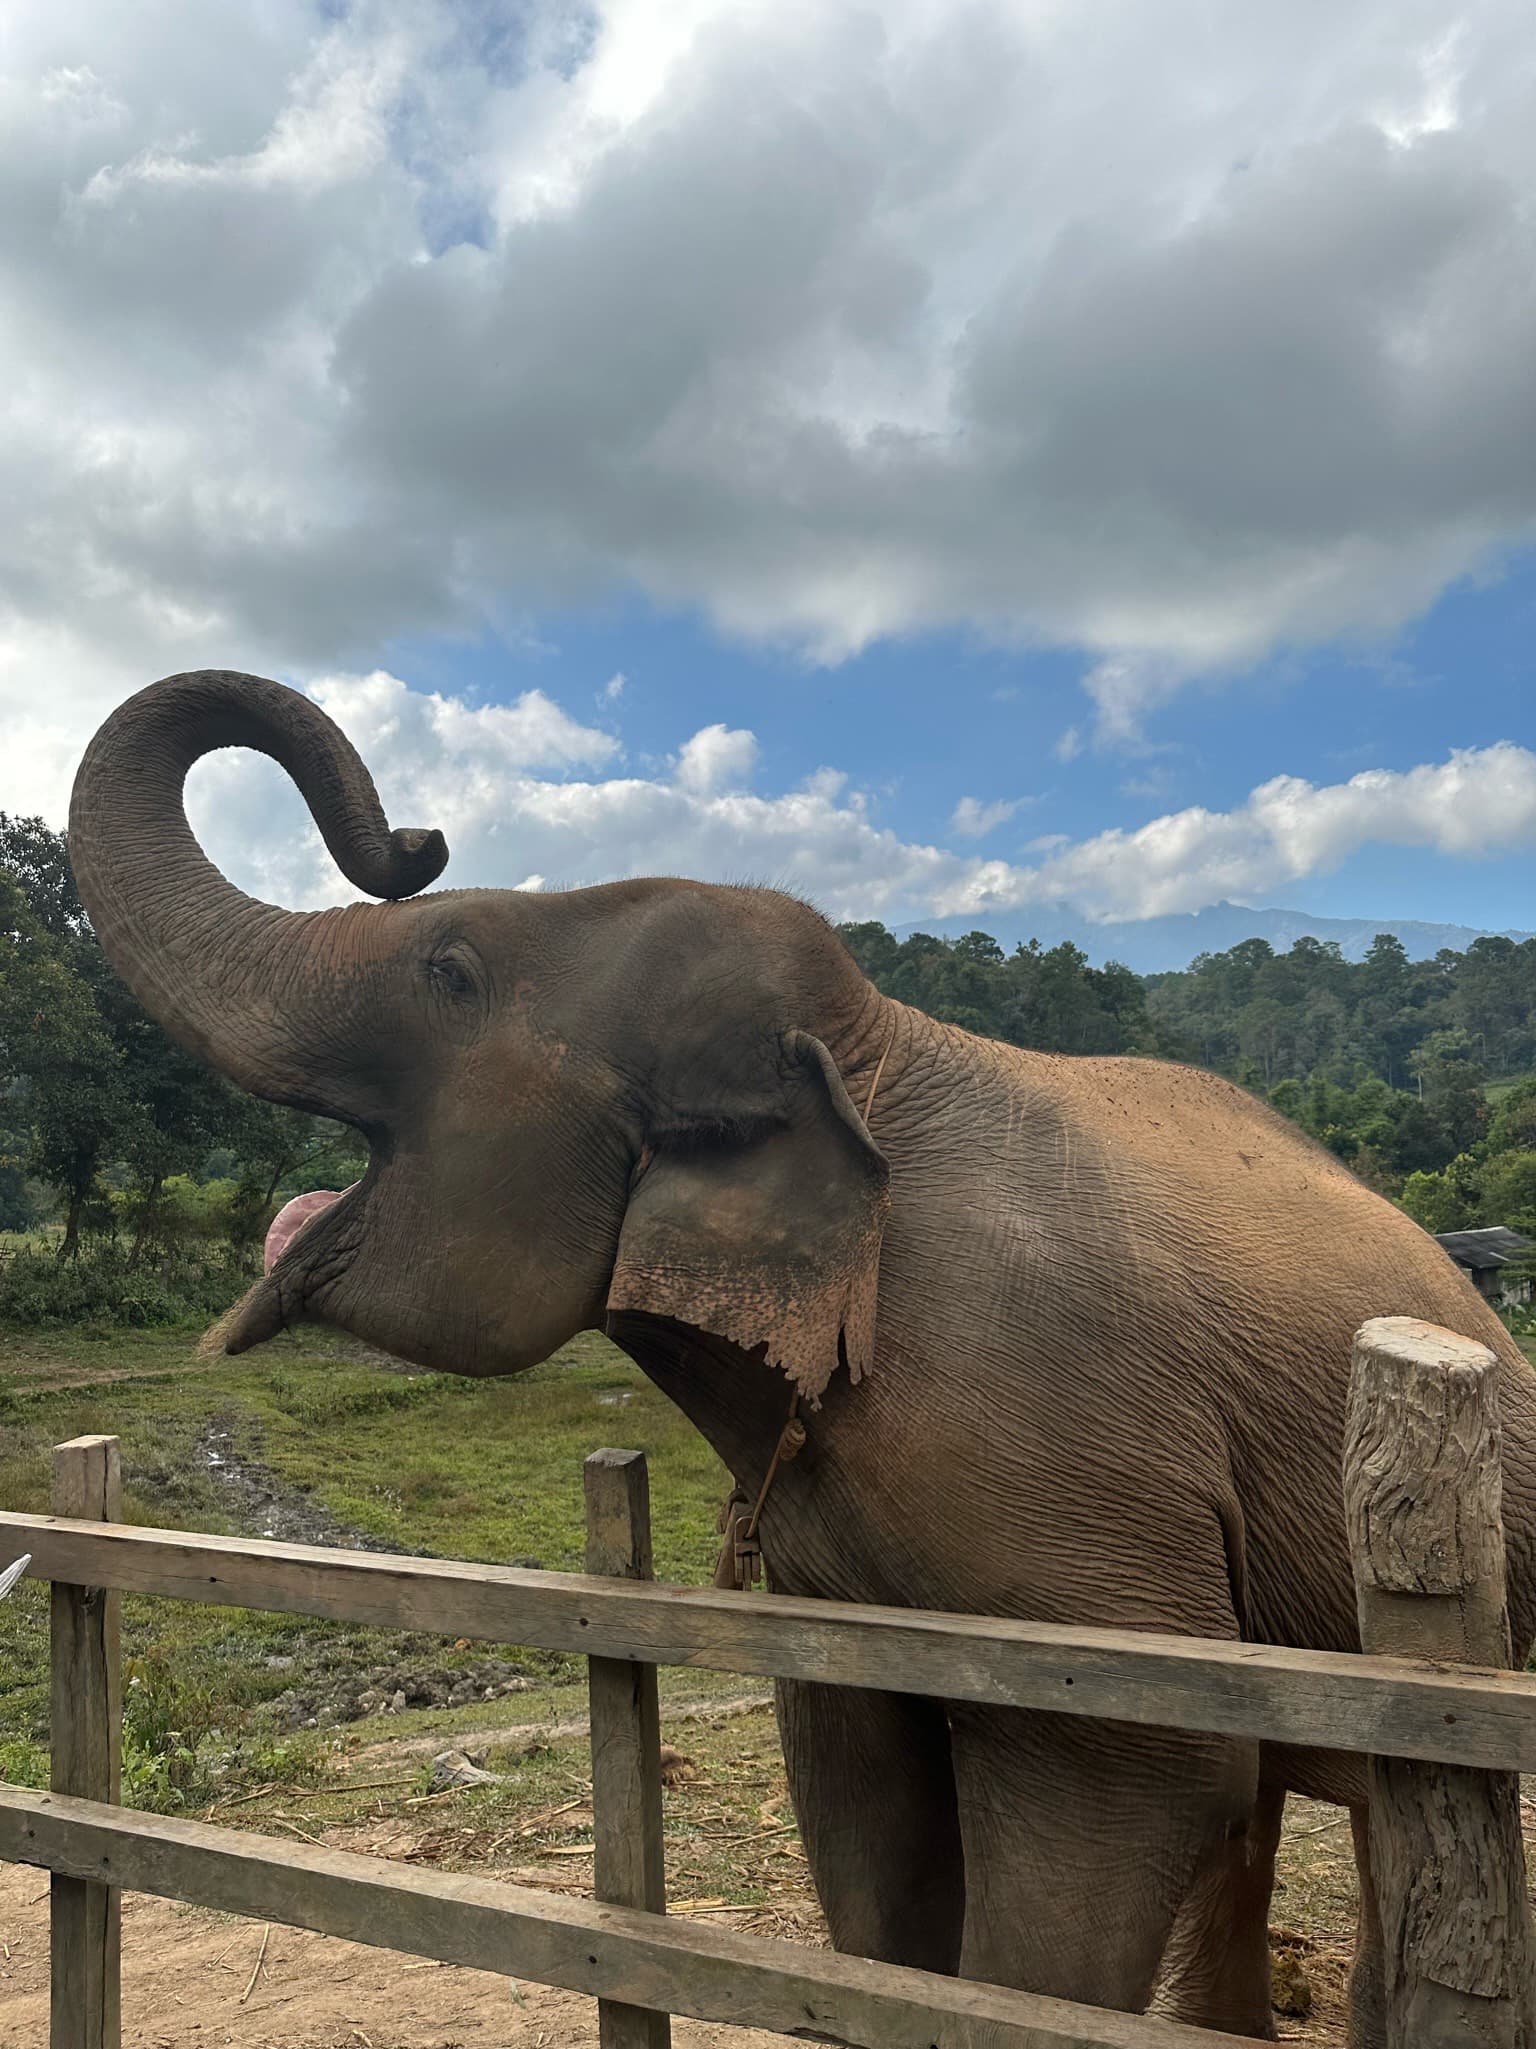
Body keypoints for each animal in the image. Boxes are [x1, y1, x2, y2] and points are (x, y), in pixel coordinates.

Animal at [69, 670, 1536, 2041]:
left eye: (449, 966)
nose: (414, 836)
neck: (876, 1047)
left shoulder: (1081, 1503)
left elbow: (1128, 1791)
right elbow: (864, 1820)